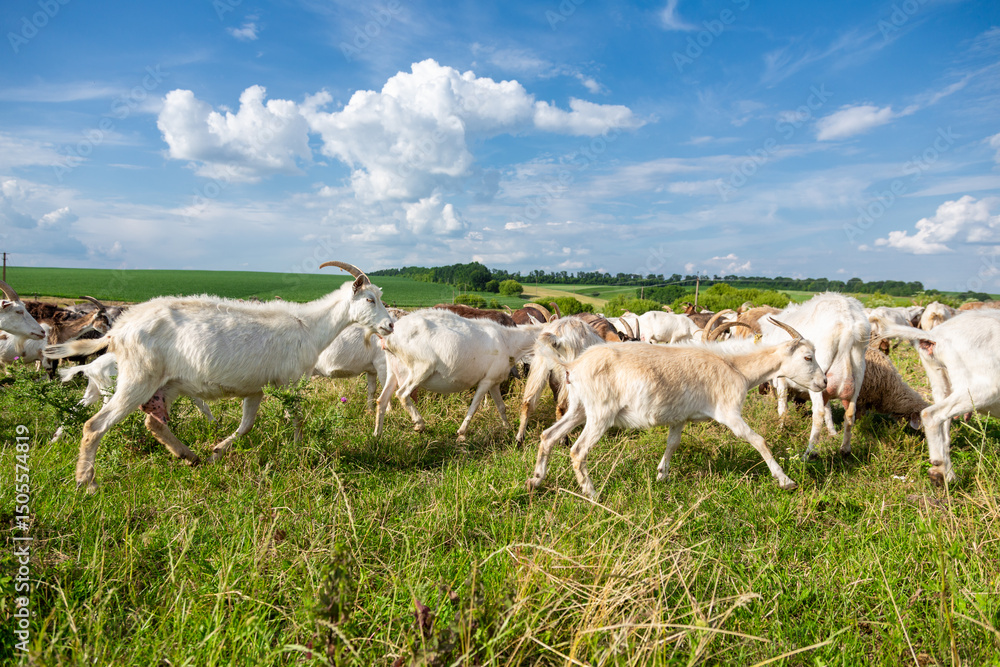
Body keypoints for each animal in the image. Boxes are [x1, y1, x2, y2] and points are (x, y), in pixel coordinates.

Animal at [44, 261, 393, 492]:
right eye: (369, 299)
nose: (390, 325)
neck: (309, 325)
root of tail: (117, 331)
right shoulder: (290, 380)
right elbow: (296, 418)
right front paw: (299, 451)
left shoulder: (256, 388)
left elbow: (247, 424)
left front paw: (215, 453)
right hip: (137, 378)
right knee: (94, 426)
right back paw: (86, 482)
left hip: (165, 385)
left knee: (154, 422)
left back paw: (189, 456)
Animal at [374, 308, 542, 441]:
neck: (508, 341)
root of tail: (389, 337)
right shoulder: (485, 381)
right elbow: (474, 407)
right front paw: (461, 433)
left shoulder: (494, 380)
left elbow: (501, 407)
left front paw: (507, 428)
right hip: (421, 367)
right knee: (402, 394)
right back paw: (419, 424)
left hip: (393, 370)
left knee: (382, 400)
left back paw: (377, 435)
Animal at [526, 319, 825, 499]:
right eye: (807, 357)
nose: (823, 382)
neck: (735, 366)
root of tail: (572, 366)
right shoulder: (729, 412)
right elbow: (757, 440)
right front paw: (785, 480)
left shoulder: (679, 417)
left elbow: (672, 443)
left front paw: (662, 475)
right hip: (601, 413)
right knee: (578, 451)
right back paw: (592, 493)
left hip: (579, 408)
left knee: (548, 436)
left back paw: (535, 481)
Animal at [878, 311, 1000, 485]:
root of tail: (935, 336)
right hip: (985, 387)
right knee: (931, 415)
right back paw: (940, 468)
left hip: (940, 381)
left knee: (944, 430)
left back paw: (945, 474)